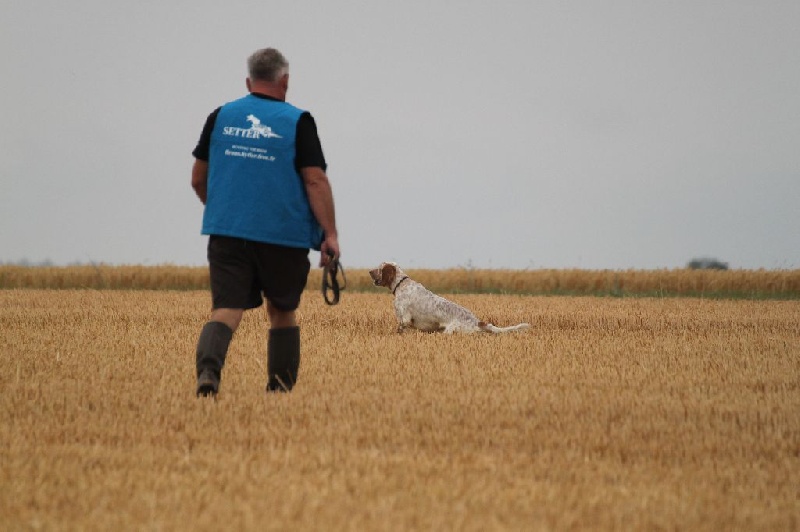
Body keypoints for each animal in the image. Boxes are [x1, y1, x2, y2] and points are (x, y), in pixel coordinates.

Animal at [368, 260, 532, 332]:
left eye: (380, 268)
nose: (369, 271)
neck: (401, 284)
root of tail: (477, 321)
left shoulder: (405, 319)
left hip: (450, 330)